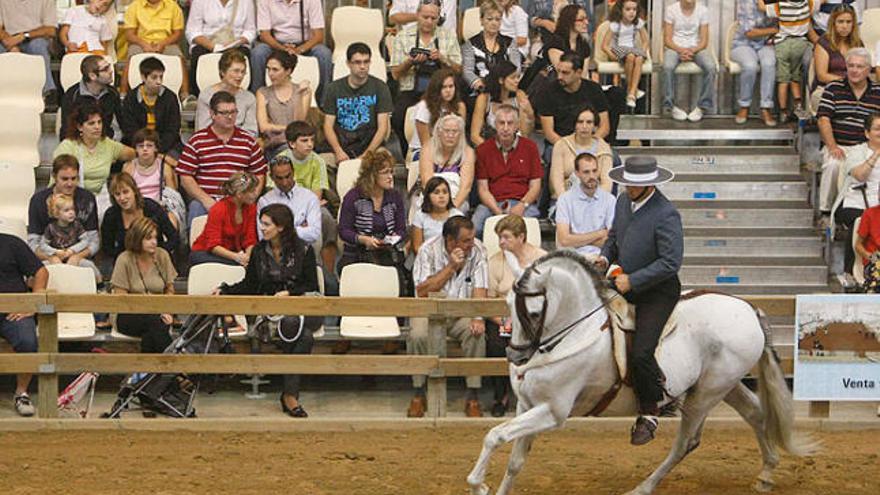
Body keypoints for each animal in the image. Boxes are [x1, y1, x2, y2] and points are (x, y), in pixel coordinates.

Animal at [464, 254, 816, 494]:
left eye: (535, 313)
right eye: (507, 303)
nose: (516, 356)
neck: (574, 332)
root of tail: (748, 309)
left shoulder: (552, 411)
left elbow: (494, 436)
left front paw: (477, 484)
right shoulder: (527, 406)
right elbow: (515, 460)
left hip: (705, 395)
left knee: (686, 443)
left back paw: (643, 487)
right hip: (726, 385)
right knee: (756, 414)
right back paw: (766, 474)